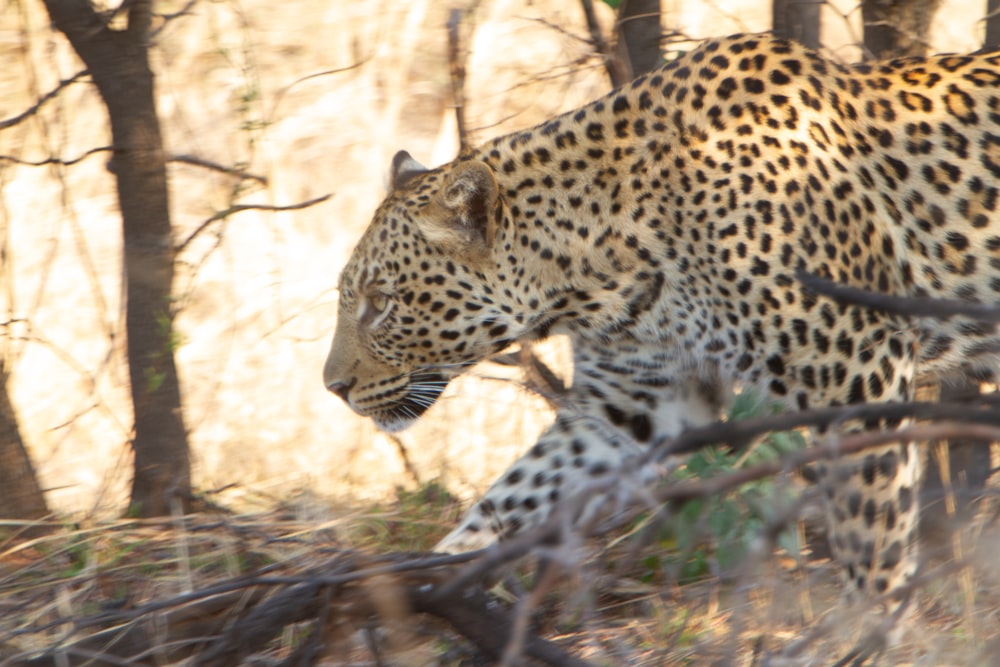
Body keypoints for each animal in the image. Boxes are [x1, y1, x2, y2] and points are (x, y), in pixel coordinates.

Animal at [324, 31, 1000, 612]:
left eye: (380, 302)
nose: (333, 388)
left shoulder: (862, 371)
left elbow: (872, 528)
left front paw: (866, 628)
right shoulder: (634, 400)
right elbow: (518, 491)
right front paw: (440, 577)